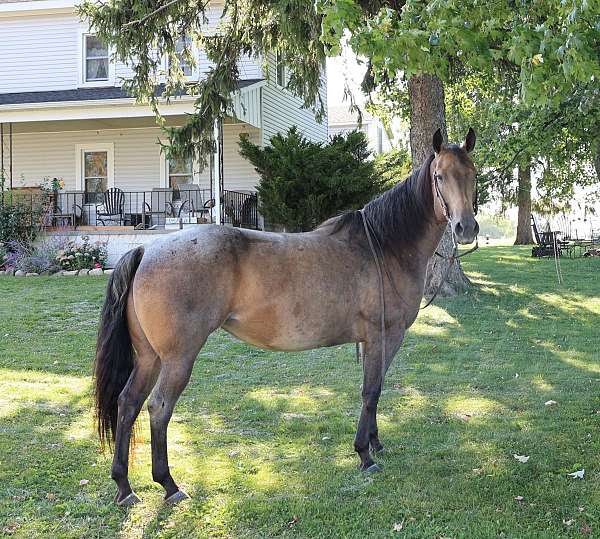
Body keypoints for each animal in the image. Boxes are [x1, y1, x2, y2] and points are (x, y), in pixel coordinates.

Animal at [95, 127, 478, 506]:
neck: (384, 247)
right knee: (159, 408)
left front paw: (375, 442)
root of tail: (146, 251)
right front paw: (364, 454)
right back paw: (169, 484)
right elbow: (371, 391)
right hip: (177, 359)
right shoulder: (382, 336)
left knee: (128, 403)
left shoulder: (383, 341)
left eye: (473, 173)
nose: (466, 228)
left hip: (149, 358)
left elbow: (377, 388)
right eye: (439, 176)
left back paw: (124, 487)